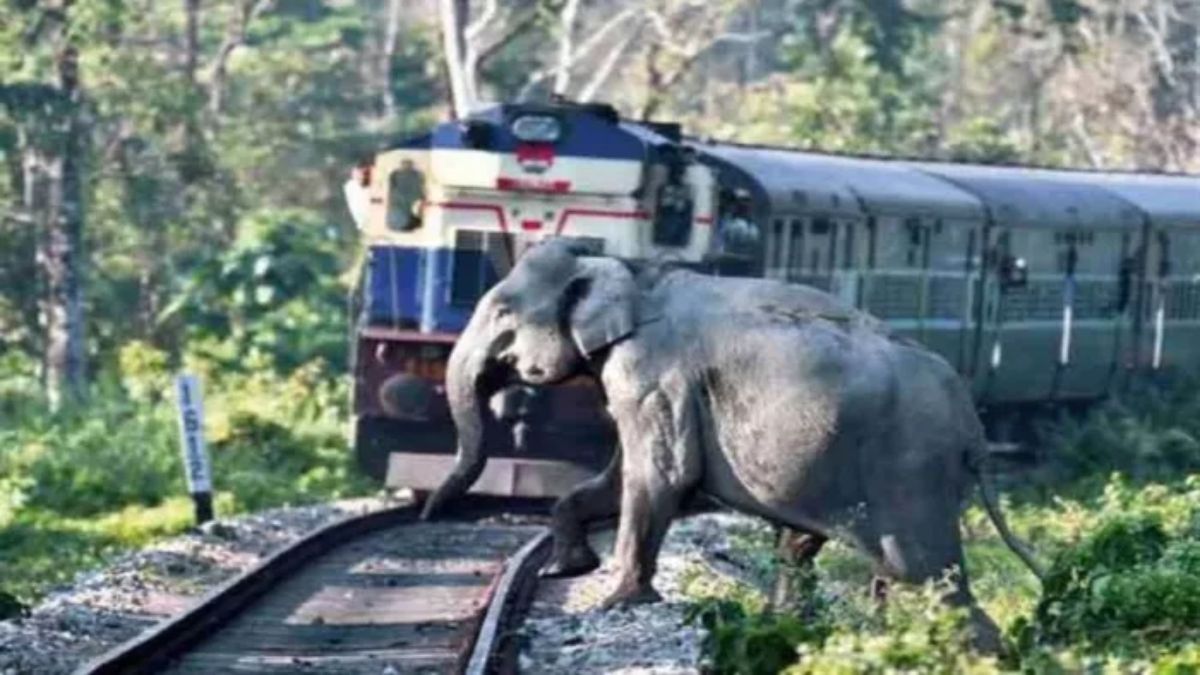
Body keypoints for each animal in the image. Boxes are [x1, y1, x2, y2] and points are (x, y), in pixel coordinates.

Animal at [420, 238, 1042, 650]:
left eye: (502, 311)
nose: (427, 514)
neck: (627, 266)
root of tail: (971, 423)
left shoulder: (652, 373)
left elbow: (660, 478)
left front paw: (613, 602)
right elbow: (624, 480)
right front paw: (565, 570)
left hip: (911, 469)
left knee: (927, 576)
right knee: (843, 557)